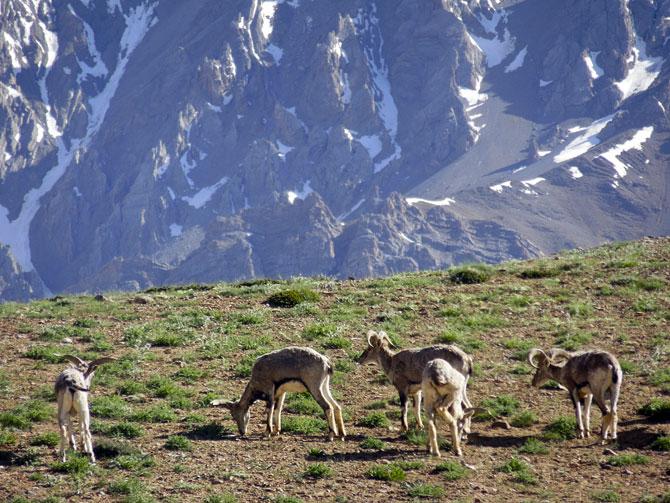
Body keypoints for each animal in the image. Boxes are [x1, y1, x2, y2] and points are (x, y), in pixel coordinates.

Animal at [211, 346, 346, 440]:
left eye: (236, 415)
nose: (242, 432)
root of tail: (326, 363)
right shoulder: (281, 393)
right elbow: (277, 409)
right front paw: (276, 431)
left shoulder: (269, 391)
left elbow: (269, 410)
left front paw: (267, 433)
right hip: (324, 387)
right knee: (336, 406)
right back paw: (342, 434)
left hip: (314, 388)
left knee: (327, 407)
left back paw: (330, 435)